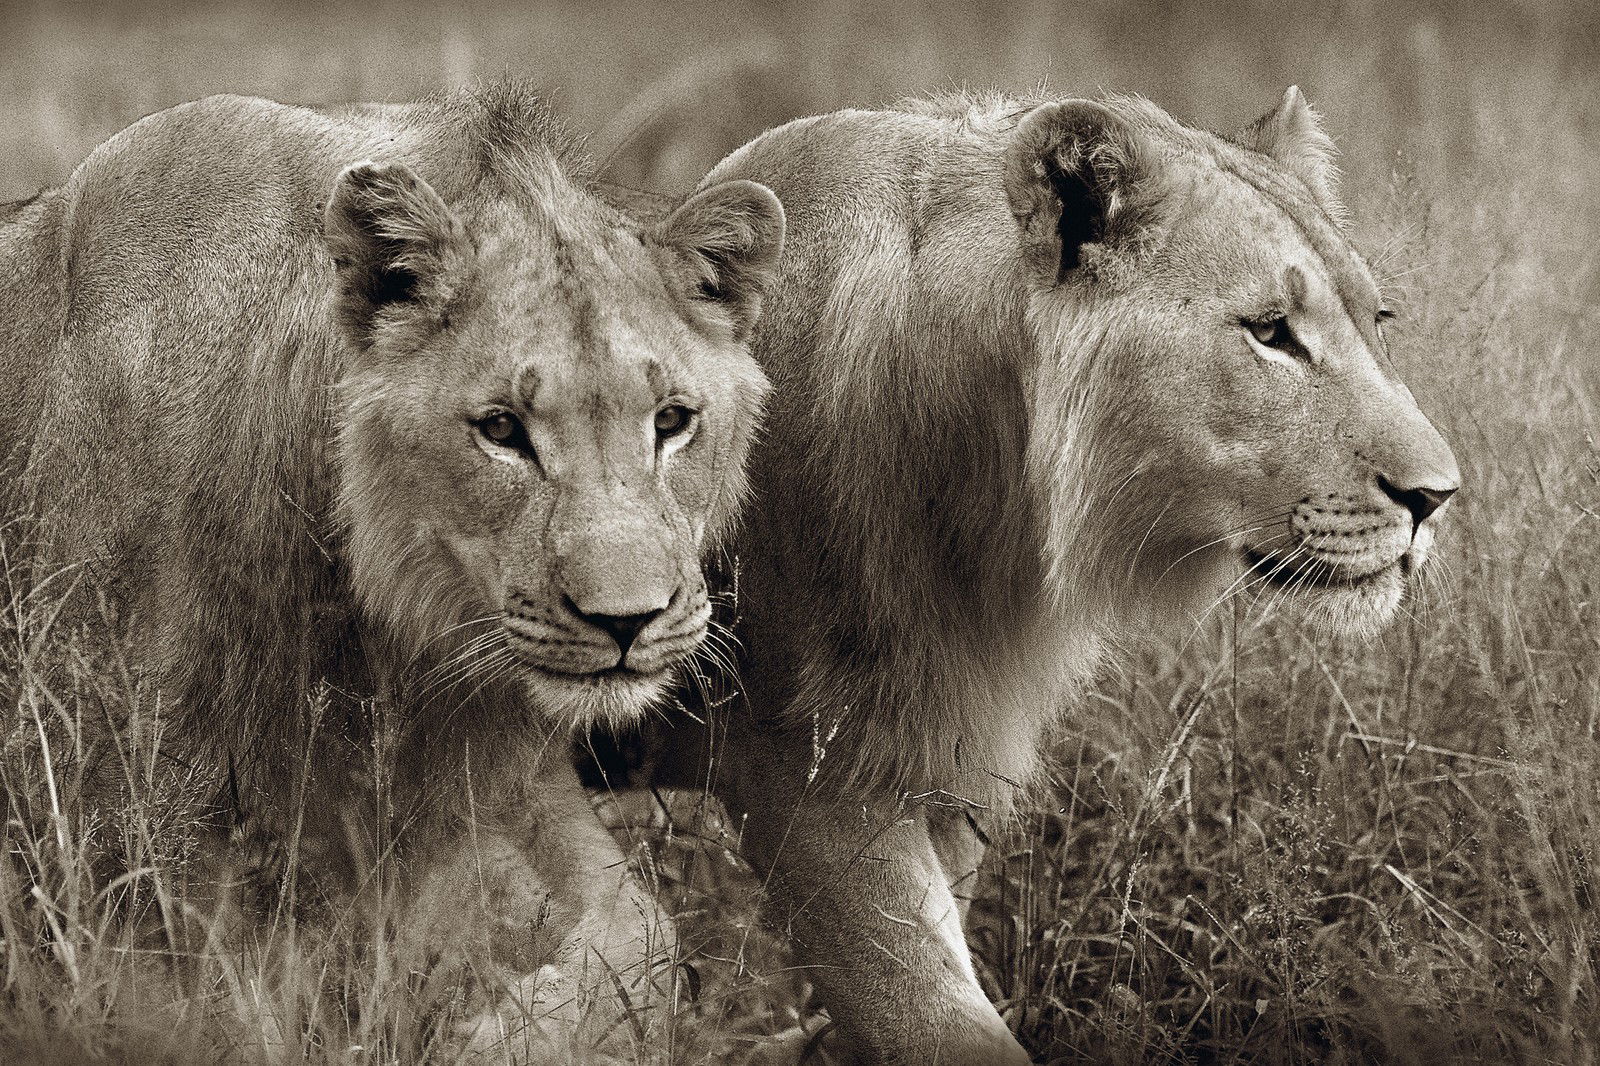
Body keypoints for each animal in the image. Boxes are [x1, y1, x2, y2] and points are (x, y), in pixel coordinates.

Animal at [0, 82, 782, 1057]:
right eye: (501, 430)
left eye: (672, 420)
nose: (627, 623)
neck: (380, 645)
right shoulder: (105, 833)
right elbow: (214, 1010)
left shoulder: (490, 787)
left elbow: (646, 941)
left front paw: (496, 1034)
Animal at [634, 87, 1460, 1064]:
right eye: (1270, 334)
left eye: (1379, 324)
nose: (1437, 497)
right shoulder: (798, 768)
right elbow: (933, 1017)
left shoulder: (941, 760)